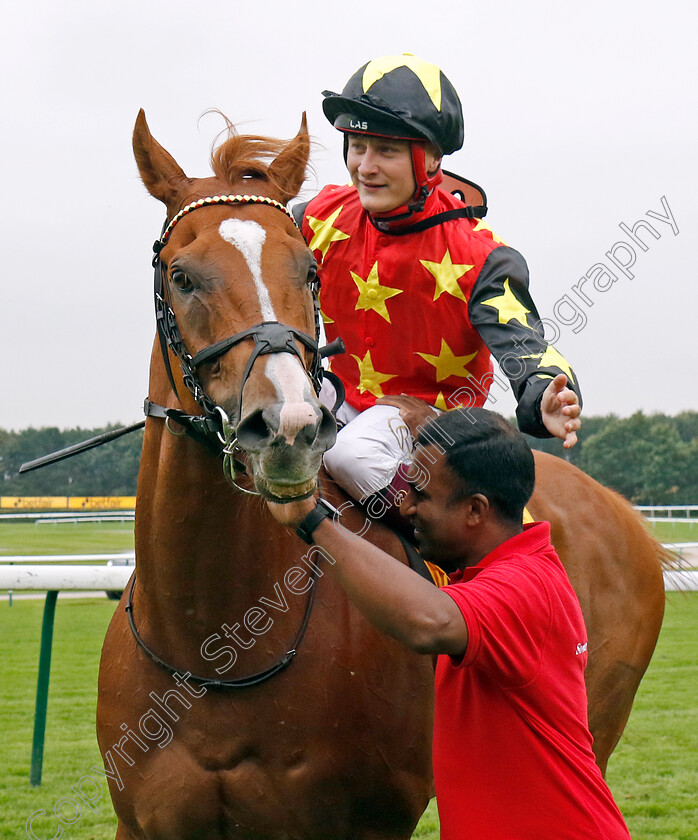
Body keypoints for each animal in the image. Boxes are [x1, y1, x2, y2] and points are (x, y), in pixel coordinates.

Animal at [95, 111, 668, 840]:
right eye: (182, 275)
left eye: (308, 270)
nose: (287, 427)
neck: (212, 646)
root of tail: (626, 516)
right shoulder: (145, 823)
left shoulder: (366, 820)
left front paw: (550, 396)